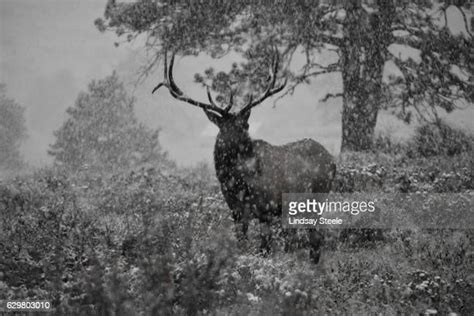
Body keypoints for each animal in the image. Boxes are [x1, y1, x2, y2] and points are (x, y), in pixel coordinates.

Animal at [154, 48, 336, 262]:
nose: (250, 149)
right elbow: (241, 244)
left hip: (318, 197)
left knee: (315, 237)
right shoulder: (236, 211)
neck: (236, 182)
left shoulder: (267, 208)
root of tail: (332, 160)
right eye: (227, 128)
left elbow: (264, 250)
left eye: (246, 125)